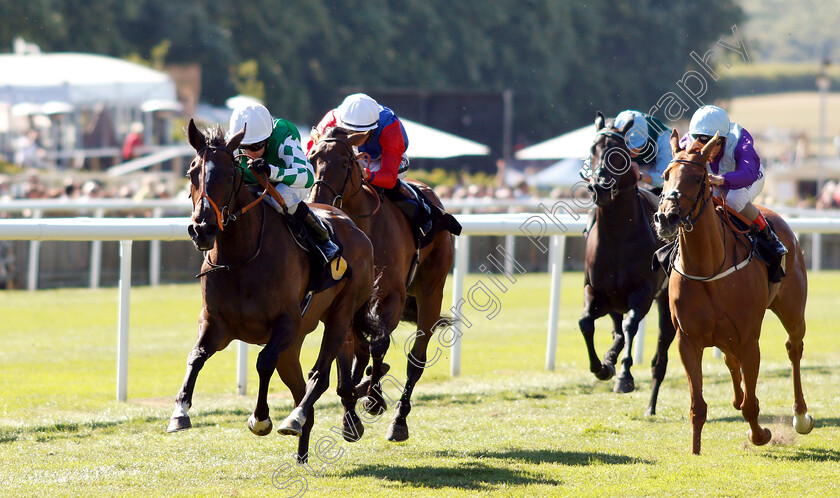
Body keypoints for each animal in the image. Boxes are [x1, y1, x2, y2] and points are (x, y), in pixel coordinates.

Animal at [168, 120, 378, 462]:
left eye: (231, 175)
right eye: (192, 172)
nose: (202, 229)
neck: (240, 258)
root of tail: (354, 227)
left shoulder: (286, 323)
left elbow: (263, 361)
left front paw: (260, 418)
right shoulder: (215, 324)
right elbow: (196, 356)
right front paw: (180, 412)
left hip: (340, 314)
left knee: (320, 374)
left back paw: (297, 418)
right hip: (294, 346)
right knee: (301, 385)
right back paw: (303, 447)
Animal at [308, 128, 456, 444]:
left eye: (344, 162)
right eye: (312, 158)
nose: (319, 201)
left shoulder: (392, 296)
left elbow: (379, 344)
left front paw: (374, 398)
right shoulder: (347, 303)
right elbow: (348, 356)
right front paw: (350, 416)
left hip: (431, 291)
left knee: (416, 359)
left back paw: (398, 419)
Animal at [576, 113, 676, 416]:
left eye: (618, 154)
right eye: (592, 150)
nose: (600, 186)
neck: (617, 236)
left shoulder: (642, 292)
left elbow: (632, 326)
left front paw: (624, 376)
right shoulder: (595, 291)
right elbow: (585, 322)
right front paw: (602, 367)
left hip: (666, 300)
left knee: (660, 355)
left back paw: (651, 406)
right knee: (616, 330)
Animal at [648, 129, 812, 456]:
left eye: (698, 178)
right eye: (666, 174)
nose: (666, 218)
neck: (708, 266)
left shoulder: (749, 339)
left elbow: (751, 405)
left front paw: (760, 434)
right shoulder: (688, 339)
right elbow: (697, 404)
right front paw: (695, 450)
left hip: (792, 309)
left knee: (794, 348)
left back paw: (800, 416)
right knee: (731, 361)